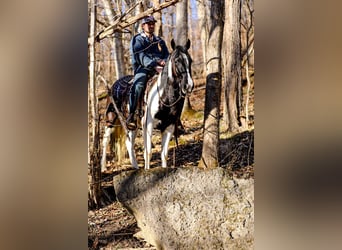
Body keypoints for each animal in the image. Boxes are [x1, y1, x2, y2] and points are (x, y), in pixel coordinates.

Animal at [100, 39, 194, 171]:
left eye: (190, 60)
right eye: (177, 60)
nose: (189, 85)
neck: (164, 96)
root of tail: (114, 85)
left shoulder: (169, 126)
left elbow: (164, 154)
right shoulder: (148, 125)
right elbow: (148, 152)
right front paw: (147, 170)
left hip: (133, 125)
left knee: (129, 143)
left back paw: (135, 168)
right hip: (111, 119)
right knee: (105, 140)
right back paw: (103, 167)